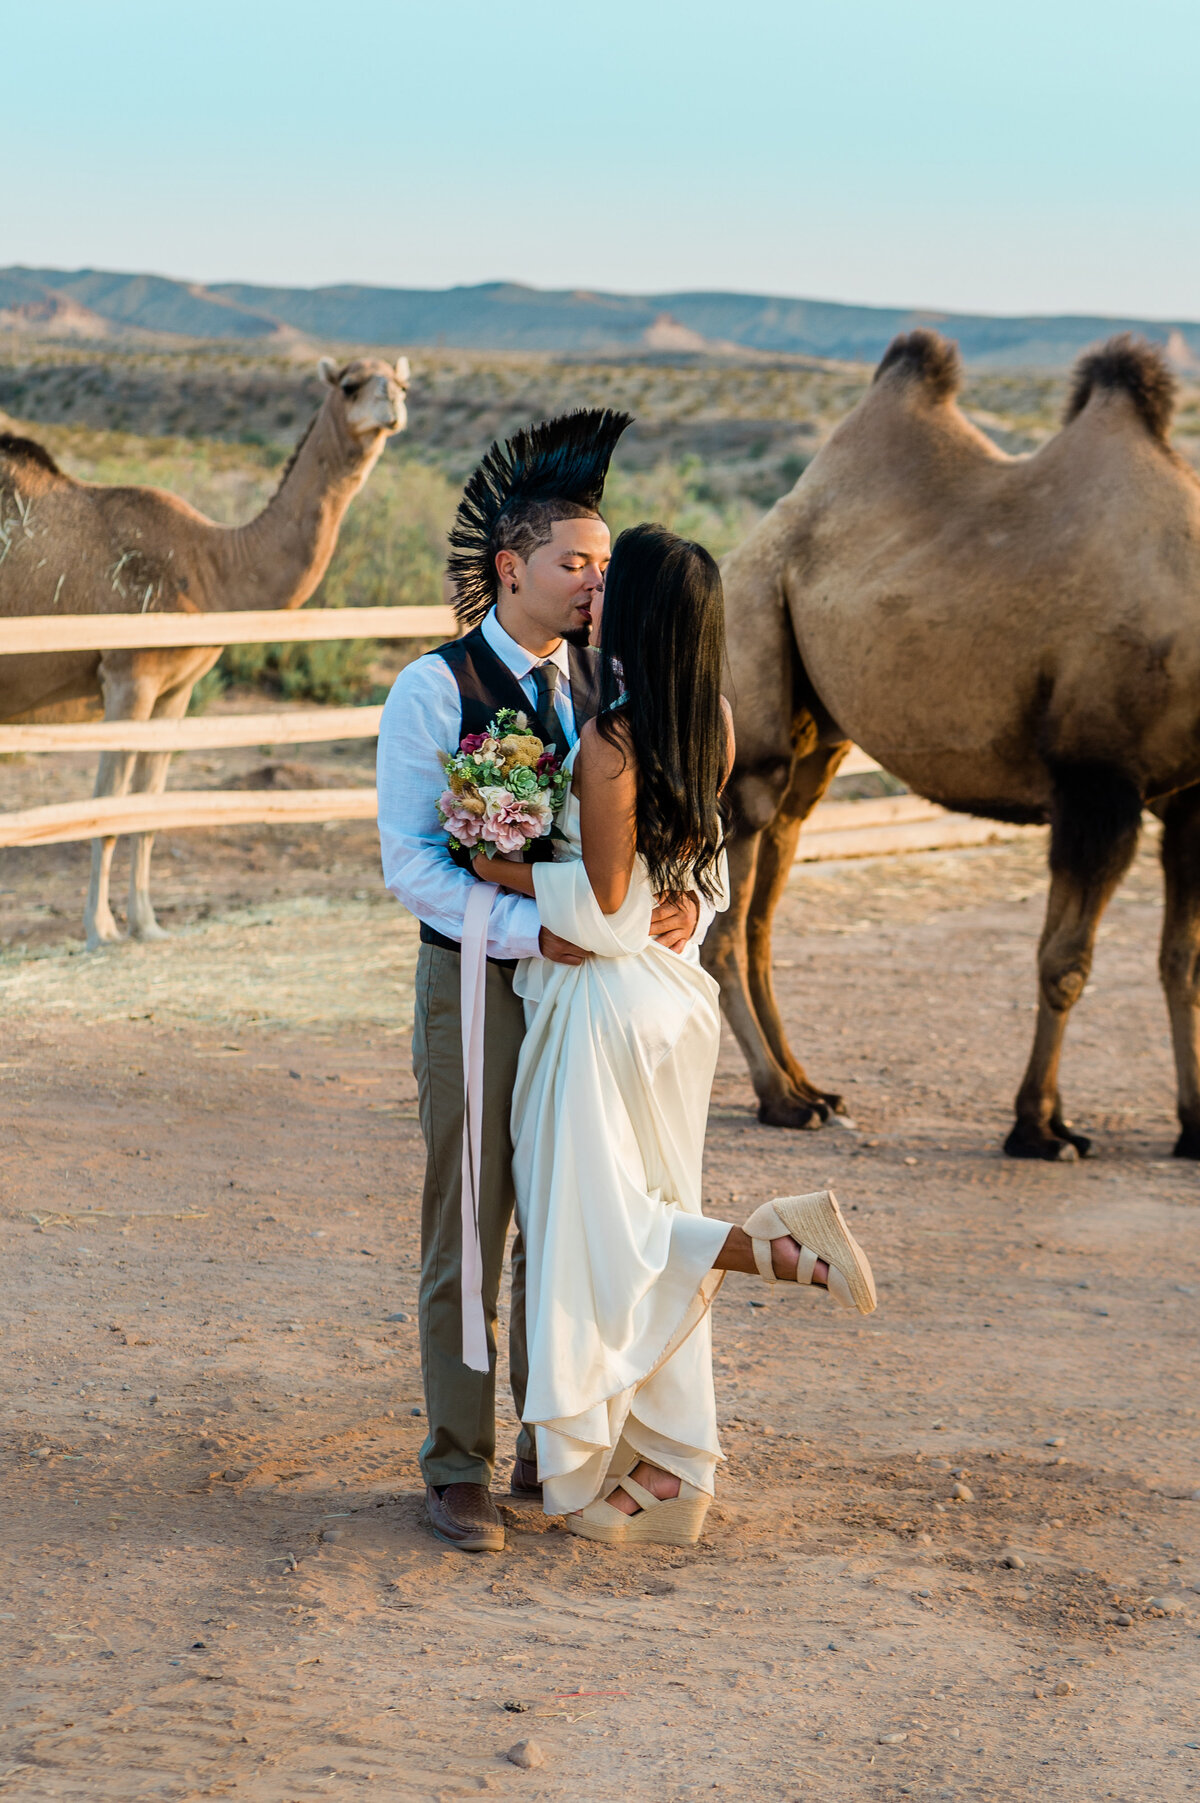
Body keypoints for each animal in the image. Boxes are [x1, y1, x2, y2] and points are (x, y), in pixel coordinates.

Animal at [0, 351, 409, 944]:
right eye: (351, 385)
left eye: (401, 382)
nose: (392, 405)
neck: (211, 565)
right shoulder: (129, 678)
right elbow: (108, 805)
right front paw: (100, 928)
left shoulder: (177, 691)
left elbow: (149, 809)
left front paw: (147, 923)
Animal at [706, 331, 1200, 1161]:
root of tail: (742, 548)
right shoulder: (1096, 779)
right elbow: (1065, 963)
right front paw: (1039, 1127)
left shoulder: (1192, 795)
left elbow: (1181, 961)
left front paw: (1194, 1126)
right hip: (752, 664)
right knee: (728, 915)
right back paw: (780, 1099)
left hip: (819, 739)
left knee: (766, 899)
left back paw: (810, 1085)